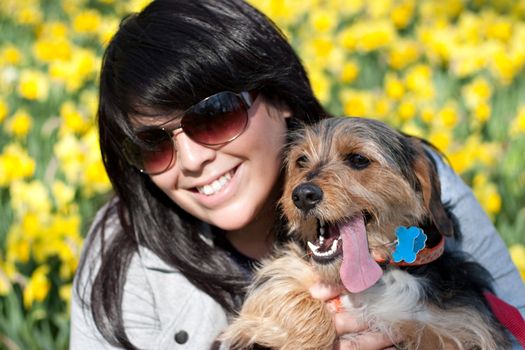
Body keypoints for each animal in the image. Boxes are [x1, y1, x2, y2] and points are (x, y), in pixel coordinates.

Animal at [219, 116, 510, 348]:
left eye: (358, 159)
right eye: (301, 160)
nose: (302, 195)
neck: (379, 274)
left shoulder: (460, 324)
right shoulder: (283, 274)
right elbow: (283, 292)